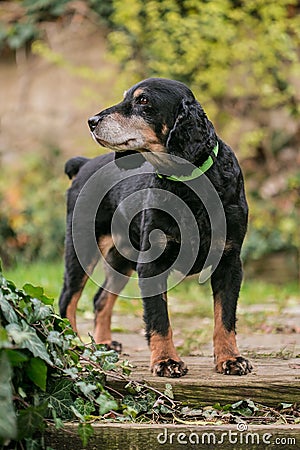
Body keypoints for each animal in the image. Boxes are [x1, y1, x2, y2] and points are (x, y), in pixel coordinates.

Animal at [58, 77, 251, 376]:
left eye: (143, 101)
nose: (91, 121)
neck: (190, 183)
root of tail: (86, 164)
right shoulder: (151, 263)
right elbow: (159, 317)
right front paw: (166, 361)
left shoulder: (229, 260)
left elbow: (225, 316)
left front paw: (230, 359)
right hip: (82, 247)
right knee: (68, 298)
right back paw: (72, 346)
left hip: (123, 255)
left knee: (100, 299)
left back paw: (104, 344)